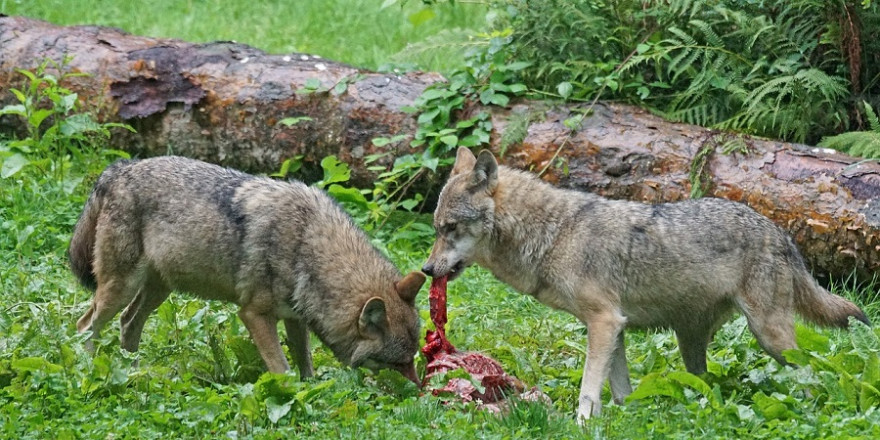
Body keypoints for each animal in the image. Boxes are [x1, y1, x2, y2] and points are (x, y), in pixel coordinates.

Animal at [69, 156, 426, 384]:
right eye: (399, 363)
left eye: (412, 359)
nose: (419, 389)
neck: (306, 243)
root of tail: (119, 169)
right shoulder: (254, 314)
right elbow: (281, 368)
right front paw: (290, 397)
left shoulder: (295, 318)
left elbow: (305, 364)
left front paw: (311, 391)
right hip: (120, 287)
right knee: (85, 324)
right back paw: (91, 368)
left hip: (157, 290)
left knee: (128, 324)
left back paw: (134, 372)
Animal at [422, 147, 868, 420]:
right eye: (436, 228)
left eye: (450, 228)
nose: (426, 269)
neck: (555, 234)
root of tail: (779, 231)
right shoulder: (613, 327)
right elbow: (619, 390)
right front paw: (622, 417)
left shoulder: (604, 322)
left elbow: (588, 389)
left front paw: (580, 423)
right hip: (693, 343)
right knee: (703, 382)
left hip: (770, 335)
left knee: (813, 372)